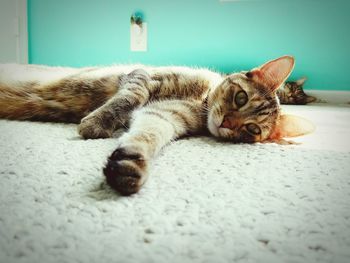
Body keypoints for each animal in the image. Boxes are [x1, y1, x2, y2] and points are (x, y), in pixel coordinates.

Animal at [0, 55, 314, 196]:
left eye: (252, 130)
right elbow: (128, 98)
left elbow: (146, 136)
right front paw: (96, 123)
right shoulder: (141, 76)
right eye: (240, 97)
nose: (226, 122)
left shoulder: (164, 116)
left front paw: (130, 162)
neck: (201, 100)